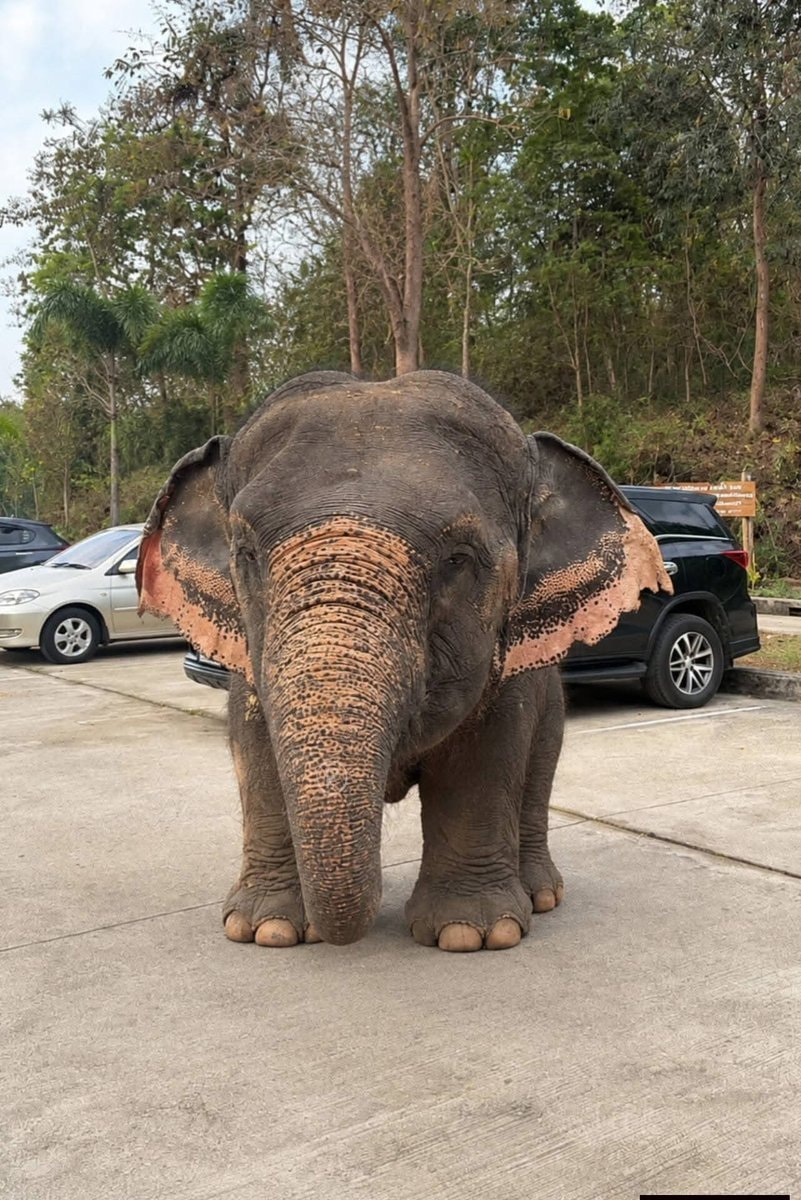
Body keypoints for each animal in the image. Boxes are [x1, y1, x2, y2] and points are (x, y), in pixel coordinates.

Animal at [137, 370, 670, 953]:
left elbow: (484, 755)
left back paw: (540, 896)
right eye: (247, 553)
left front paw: (470, 933)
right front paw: (267, 930)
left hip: (551, 701)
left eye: (459, 559)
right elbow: (254, 747)